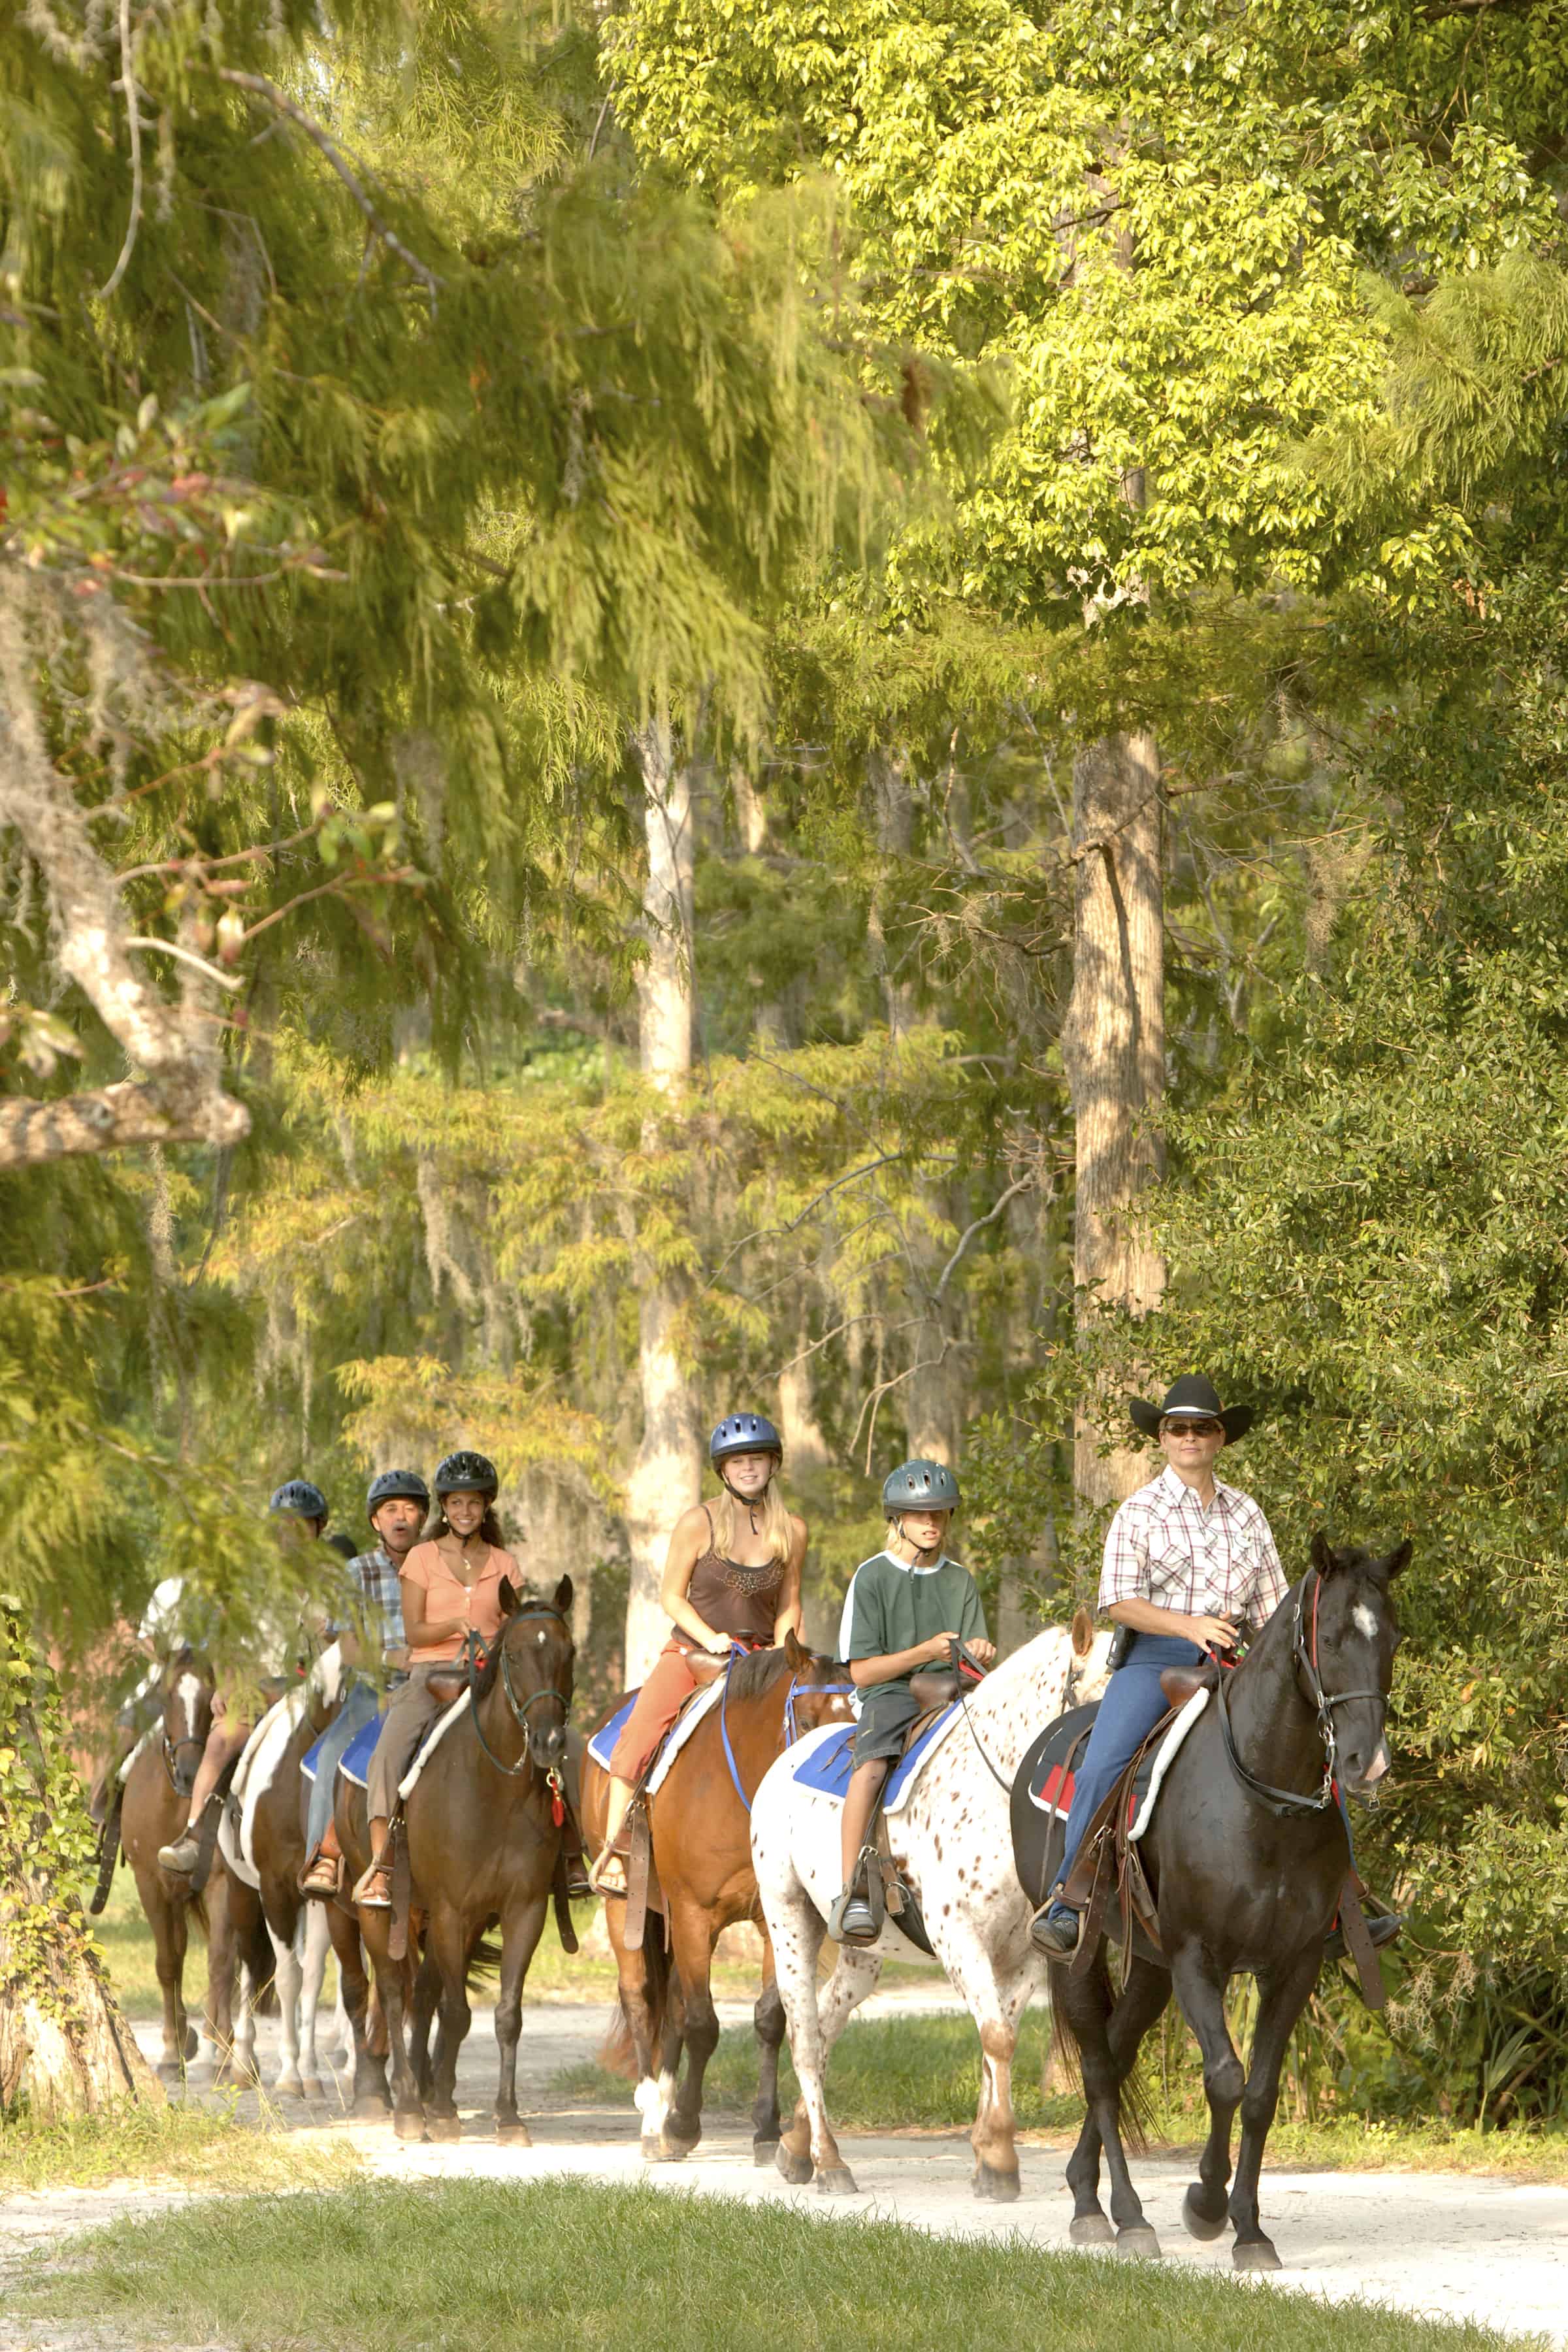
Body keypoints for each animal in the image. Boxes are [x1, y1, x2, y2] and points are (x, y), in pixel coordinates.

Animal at [338, 1580, 576, 2154]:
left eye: (569, 1653)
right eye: (515, 1655)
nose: (550, 1743)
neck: (495, 1790)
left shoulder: (521, 1910)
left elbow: (503, 2015)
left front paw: (506, 2117)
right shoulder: (451, 1910)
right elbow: (457, 2010)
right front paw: (441, 2113)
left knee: (423, 1995)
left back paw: (426, 2093)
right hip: (382, 1910)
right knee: (394, 1995)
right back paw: (407, 2105)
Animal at [583, 1637, 860, 2164]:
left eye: (857, 1724)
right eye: (807, 1720)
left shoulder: (775, 1918)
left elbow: (771, 2019)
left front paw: (766, 2129)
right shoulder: (694, 1916)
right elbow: (702, 2023)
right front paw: (685, 2124)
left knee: (670, 2001)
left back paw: (664, 2105)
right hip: (624, 1905)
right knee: (640, 1997)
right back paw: (652, 2117)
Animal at [752, 1618, 1109, 2201]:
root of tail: (787, 1758)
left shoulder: (1026, 1953)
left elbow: (1000, 2041)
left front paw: (988, 2153)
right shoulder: (958, 1936)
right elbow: (996, 2038)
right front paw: (1000, 2161)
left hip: (863, 1954)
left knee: (828, 2022)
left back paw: (796, 2145)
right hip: (789, 1919)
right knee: (805, 2035)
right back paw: (829, 2161)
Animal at [1053, 1533, 1410, 2267]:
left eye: (1390, 1637)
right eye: (1328, 1637)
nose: (1367, 1764)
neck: (1262, 1801)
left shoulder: (1296, 1964)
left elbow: (1261, 2094)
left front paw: (1249, 2231)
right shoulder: (1199, 1958)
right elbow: (1224, 2078)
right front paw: (1205, 2205)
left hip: (1150, 1967)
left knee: (1117, 2053)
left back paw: (1085, 2192)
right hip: (1076, 1953)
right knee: (1099, 2070)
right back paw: (1124, 2216)